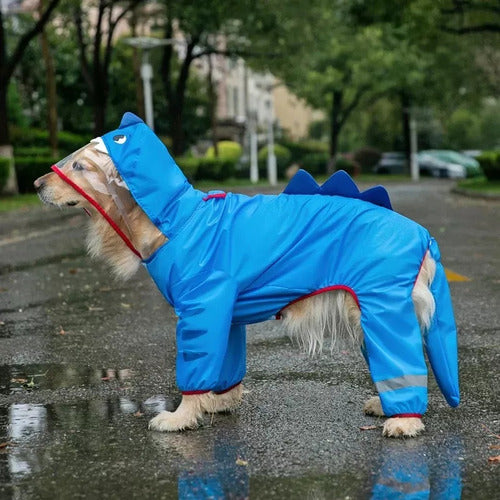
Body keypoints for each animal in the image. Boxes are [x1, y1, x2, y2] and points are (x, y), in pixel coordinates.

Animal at [33, 111, 458, 436]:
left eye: (79, 165)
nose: (35, 183)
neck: (179, 219)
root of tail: (423, 235)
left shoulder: (202, 308)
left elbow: (196, 367)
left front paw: (180, 417)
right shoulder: (226, 314)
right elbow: (225, 364)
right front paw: (219, 401)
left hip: (382, 306)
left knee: (403, 358)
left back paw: (404, 421)